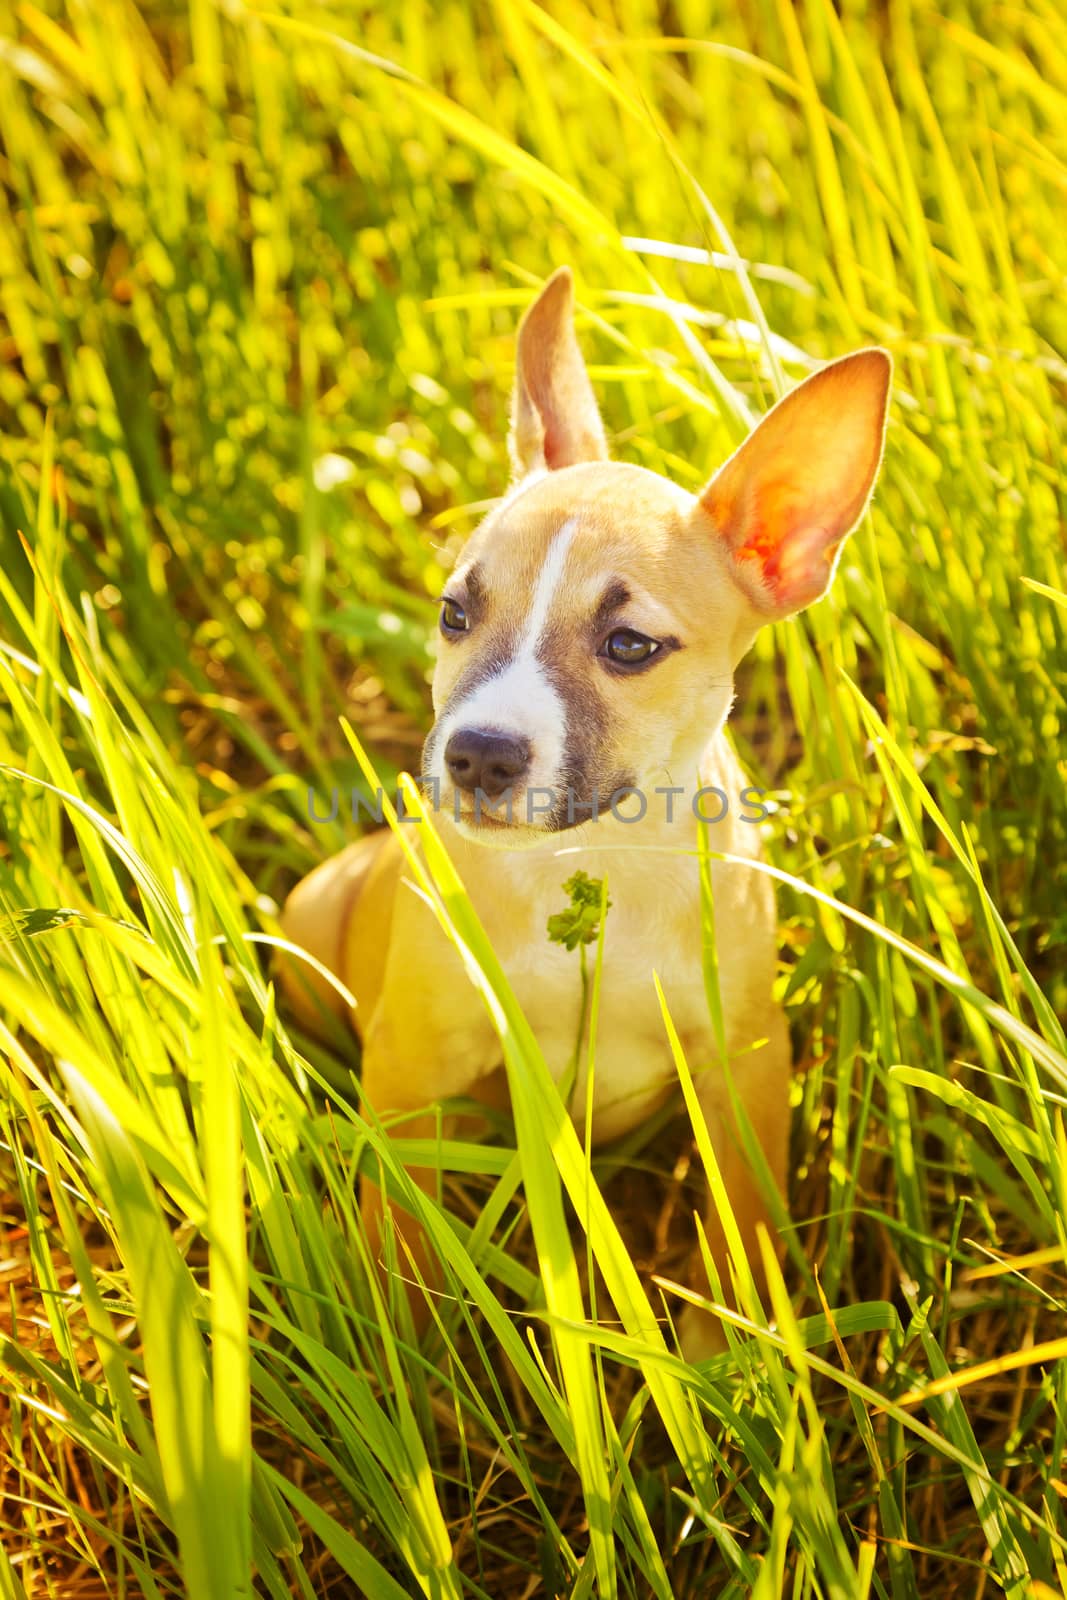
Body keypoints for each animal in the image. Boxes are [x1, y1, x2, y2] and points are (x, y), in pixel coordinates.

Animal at [279, 268, 889, 1356]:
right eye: (454, 614)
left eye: (630, 646)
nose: (476, 754)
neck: (587, 860)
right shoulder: (413, 1065)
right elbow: (399, 1231)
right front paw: (405, 1353)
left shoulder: (742, 1071)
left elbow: (738, 1228)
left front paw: (730, 1357)